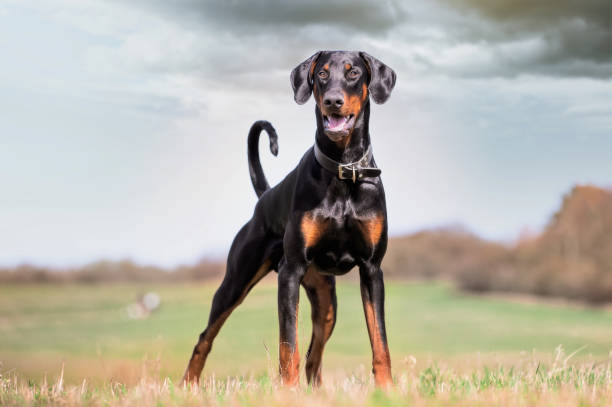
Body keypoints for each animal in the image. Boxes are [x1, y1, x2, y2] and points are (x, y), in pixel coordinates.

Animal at [182, 51, 396, 388]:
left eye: (354, 73)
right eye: (322, 73)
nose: (332, 101)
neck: (342, 170)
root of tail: (265, 198)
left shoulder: (372, 270)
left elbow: (380, 342)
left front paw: (386, 389)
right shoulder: (291, 272)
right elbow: (288, 345)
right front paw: (287, 390)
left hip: (326, 301)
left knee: (314, 355)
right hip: (236, 282)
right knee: (206, 337)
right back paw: (187, 385)